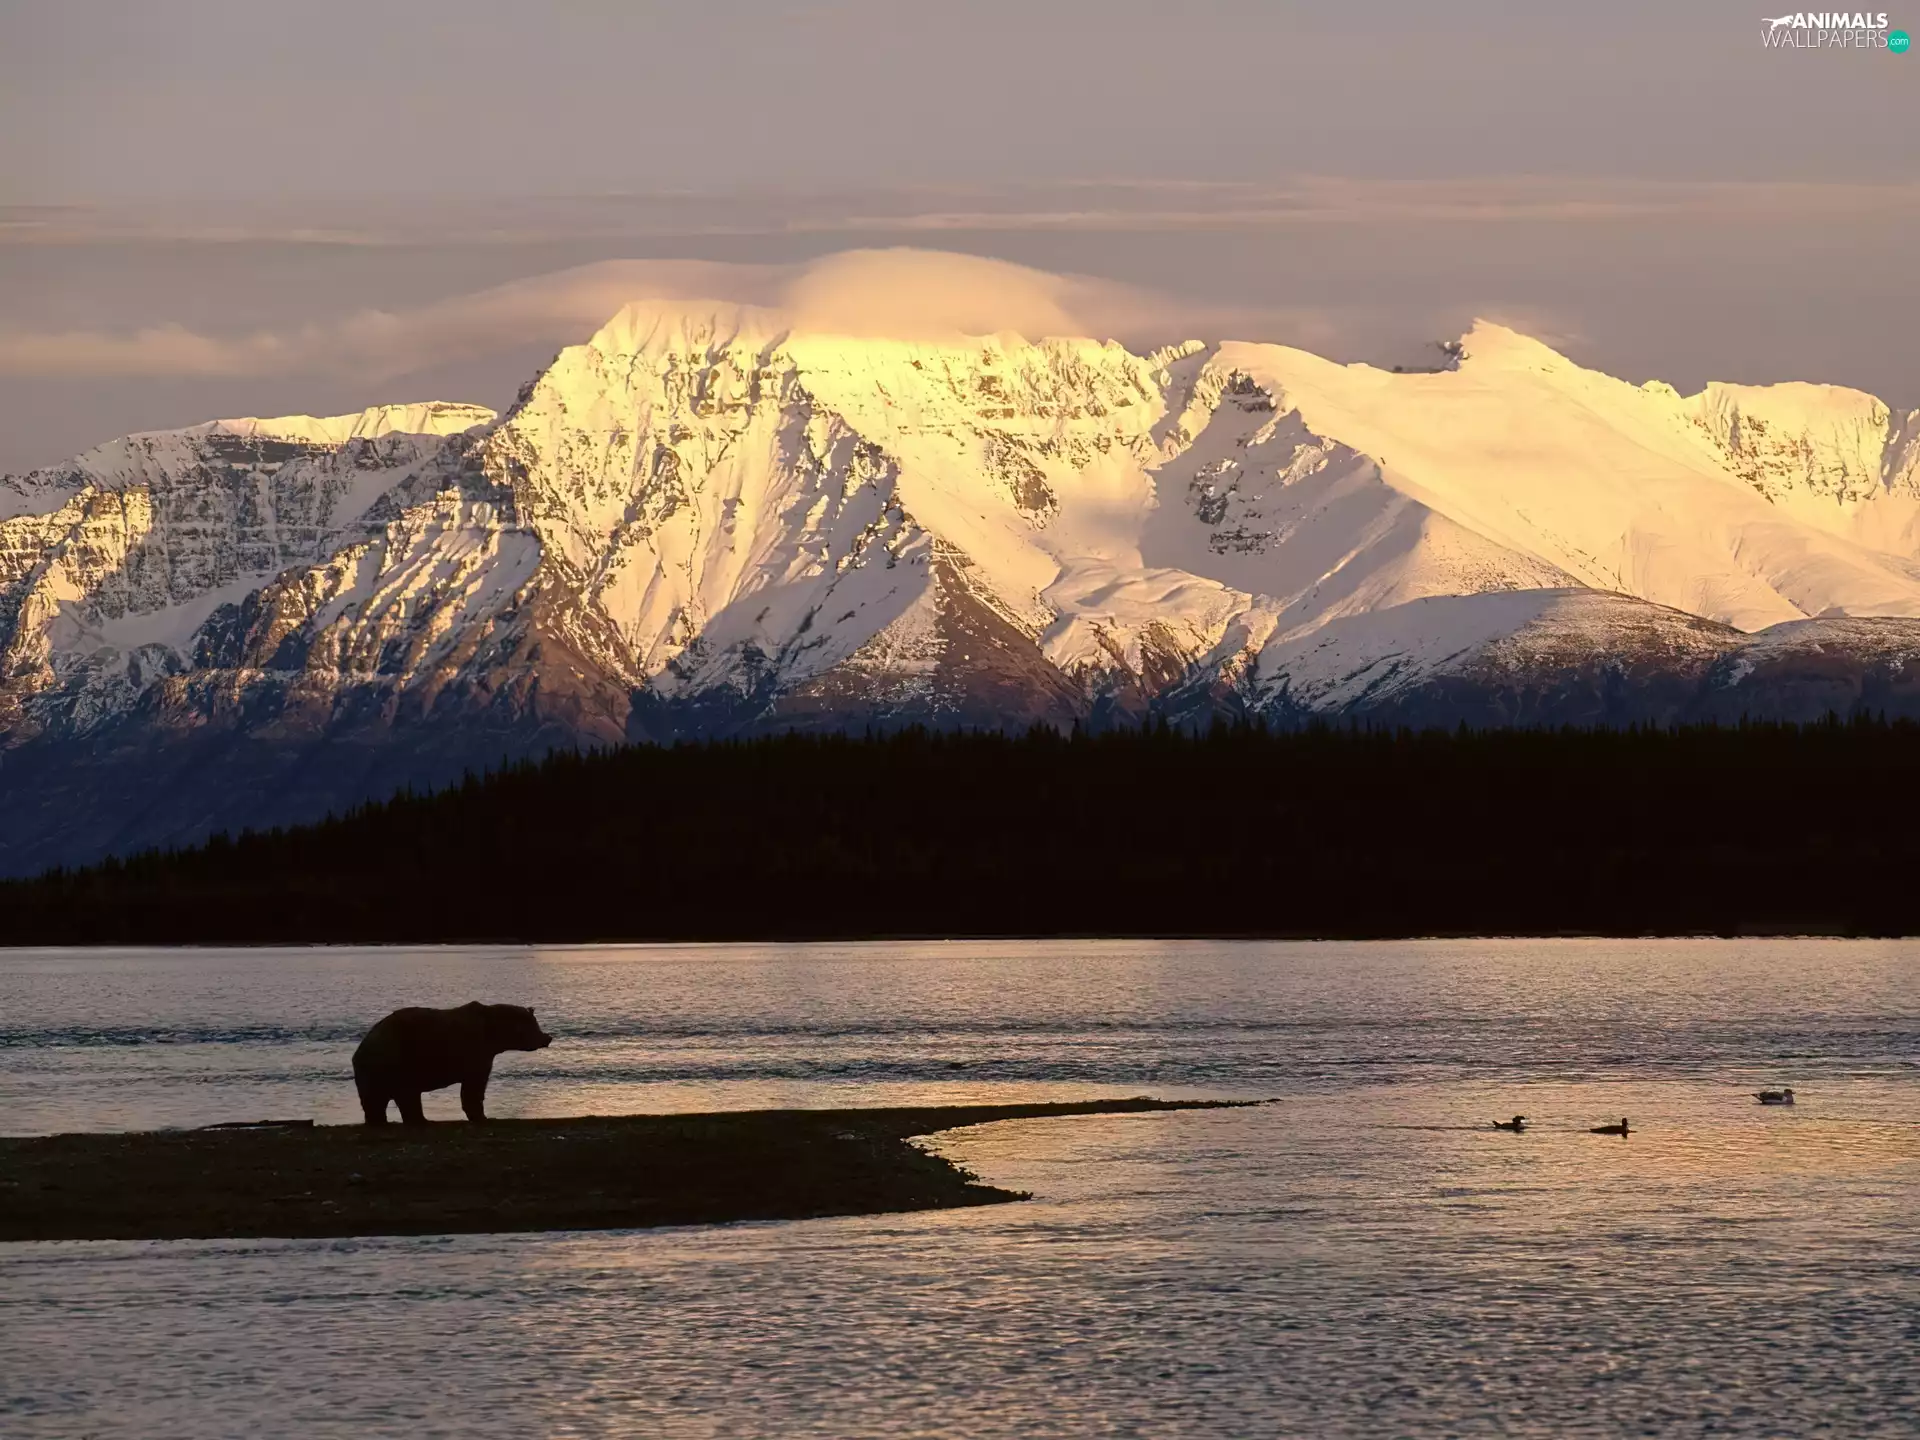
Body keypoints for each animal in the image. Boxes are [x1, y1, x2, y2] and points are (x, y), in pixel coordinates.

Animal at [352, 1002, 552, 1125]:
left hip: (379, 1068)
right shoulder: (475, 1053)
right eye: (534, 1024)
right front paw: (482, 1117)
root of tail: (363, 1044)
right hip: (397, 1059)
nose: (547, 1037)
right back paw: (421, 1121)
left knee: (377, 1099)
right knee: (405, 1094)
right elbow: (474, 1086)